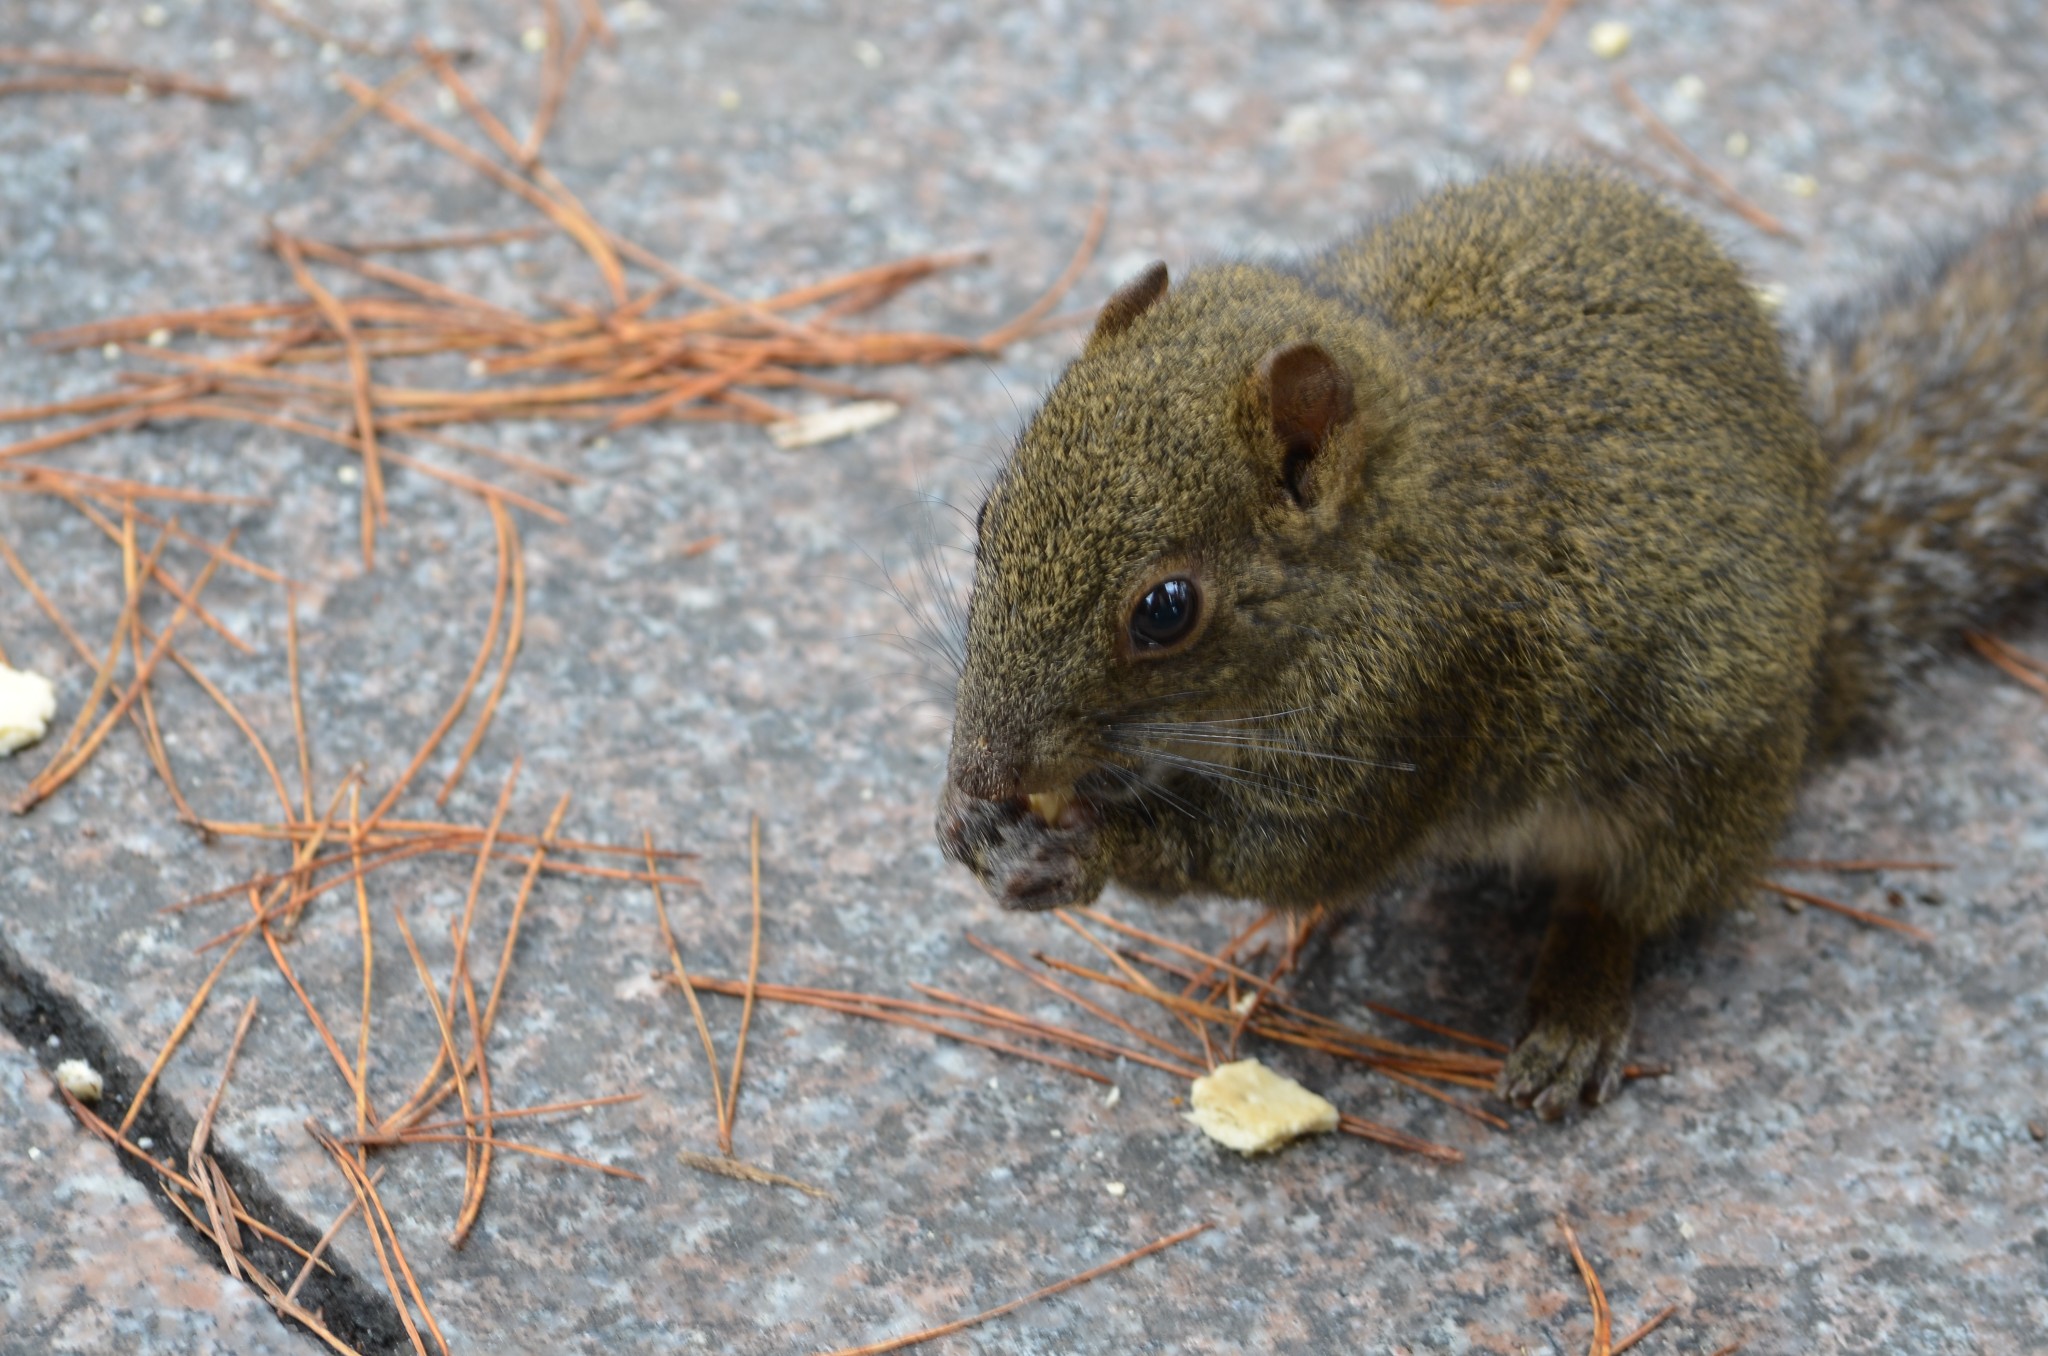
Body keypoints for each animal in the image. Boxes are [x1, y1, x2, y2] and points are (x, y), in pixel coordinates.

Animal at [933, 164, 2048, 1122]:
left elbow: (1290, 848)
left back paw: (1577, 1008)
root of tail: (1820, 649)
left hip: (1694, 785)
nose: (985, 769)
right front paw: (966, 818)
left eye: (1165, 609)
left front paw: (1082, 853)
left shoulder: (1416, 697)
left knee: (1628, 904)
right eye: (988, 514)